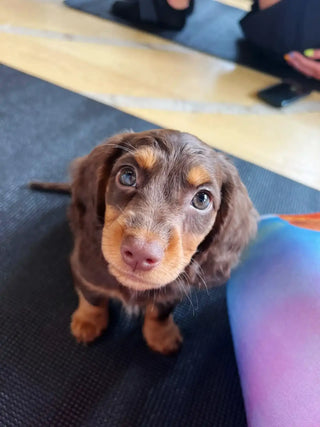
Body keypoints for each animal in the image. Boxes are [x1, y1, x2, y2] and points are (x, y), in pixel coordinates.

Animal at [31, 130, 258, 354]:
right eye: (127, 176)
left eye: (202, 199)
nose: (139, 254)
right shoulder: (85, 270)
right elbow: (92, 298)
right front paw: (88, 322)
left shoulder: (171, 291)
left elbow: (160, 312)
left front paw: (161, 335)